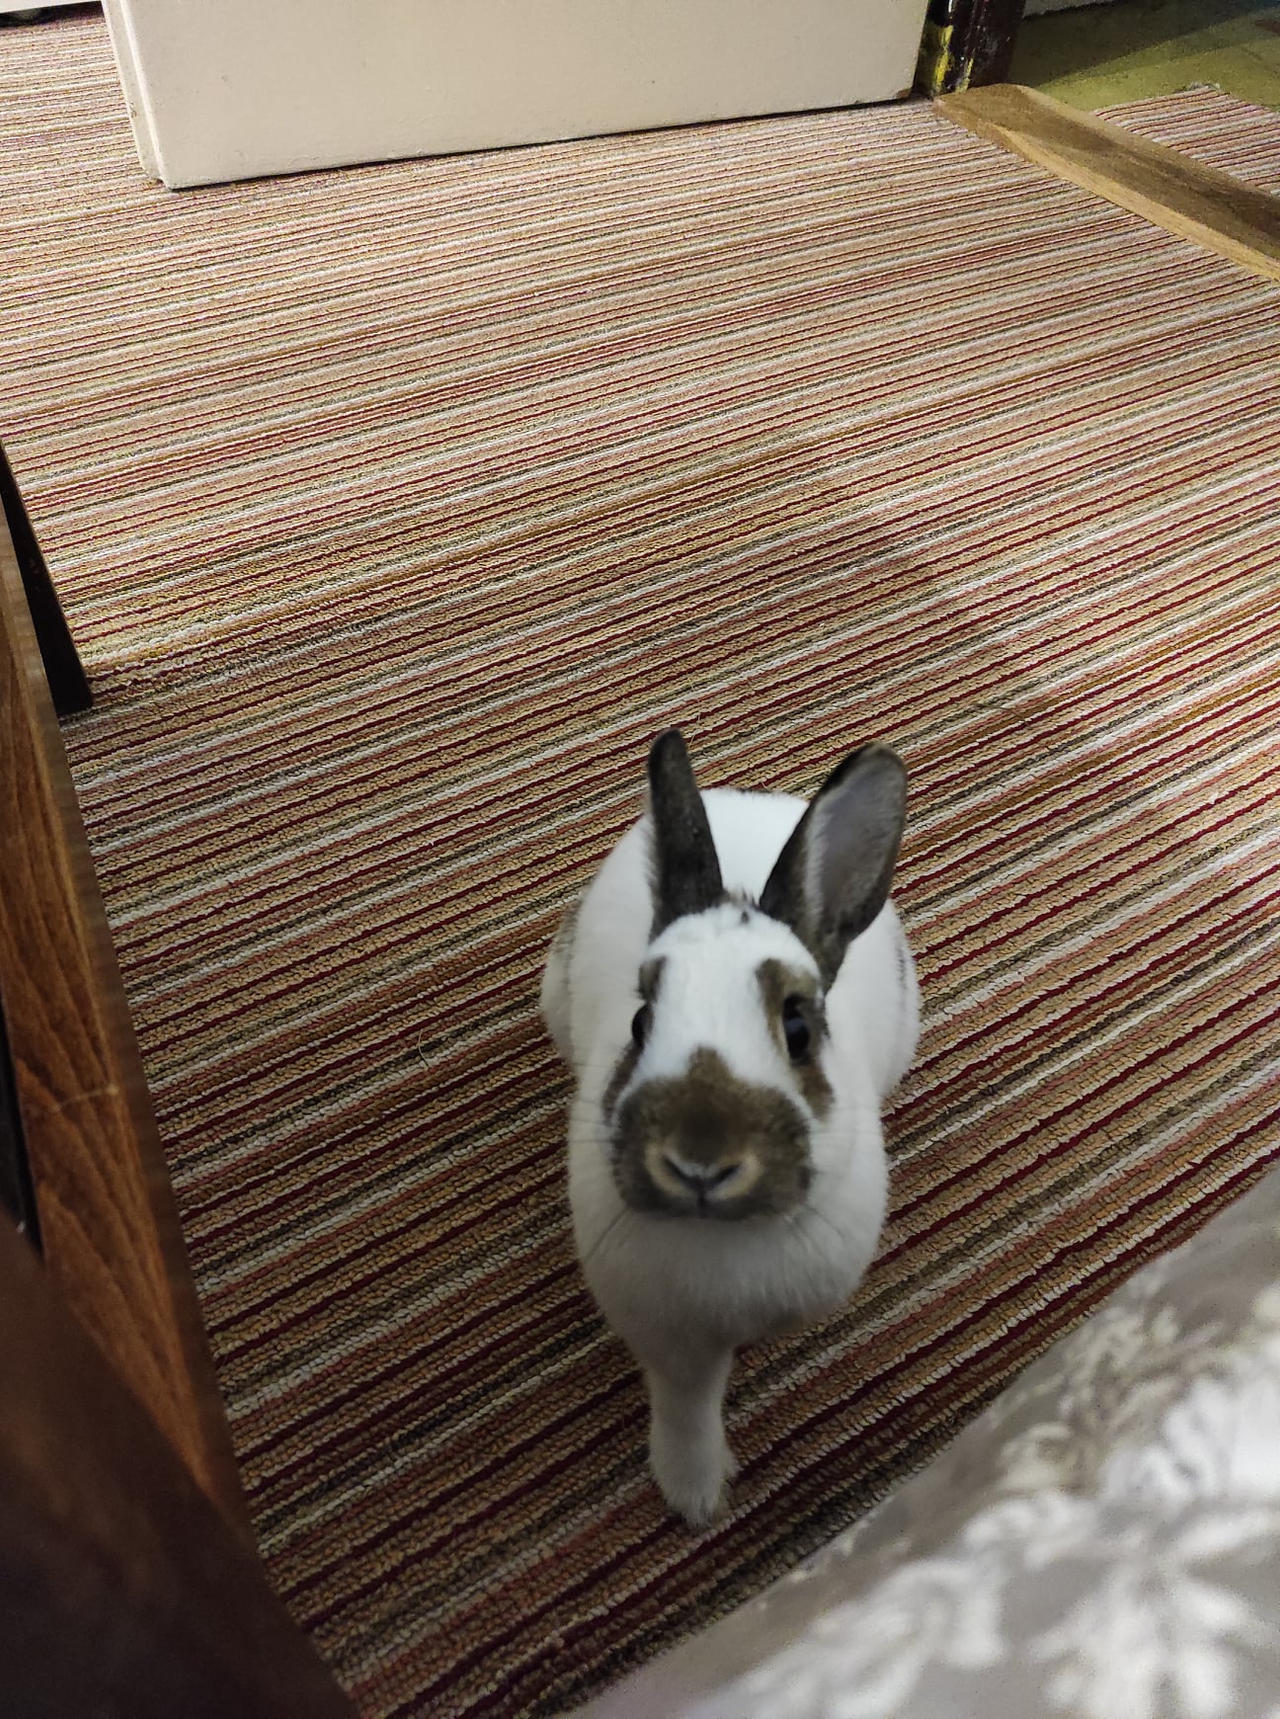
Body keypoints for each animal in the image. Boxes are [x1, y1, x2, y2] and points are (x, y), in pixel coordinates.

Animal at [540, 728, 918, 1527]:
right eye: (641, 1021)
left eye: (798, 1027)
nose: (698, 1160)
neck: (726, 1242)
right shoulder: (670, 1341)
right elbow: (687, 1408)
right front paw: (695, 1497)